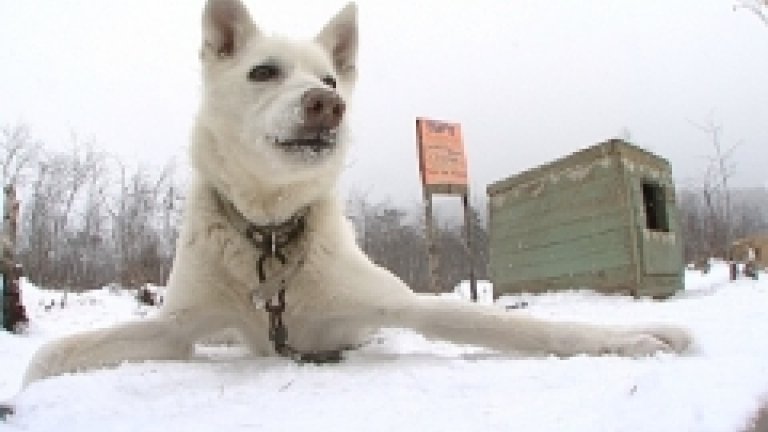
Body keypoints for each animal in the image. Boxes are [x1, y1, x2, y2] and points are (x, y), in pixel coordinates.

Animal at [19, 0, 688, 386]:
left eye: (330, 79)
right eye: (264, 72)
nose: (328, 105)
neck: (269, 234)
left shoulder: (405, 305)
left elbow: (522, 328)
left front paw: (639, 338)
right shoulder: (174, 330)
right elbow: (45, 359)